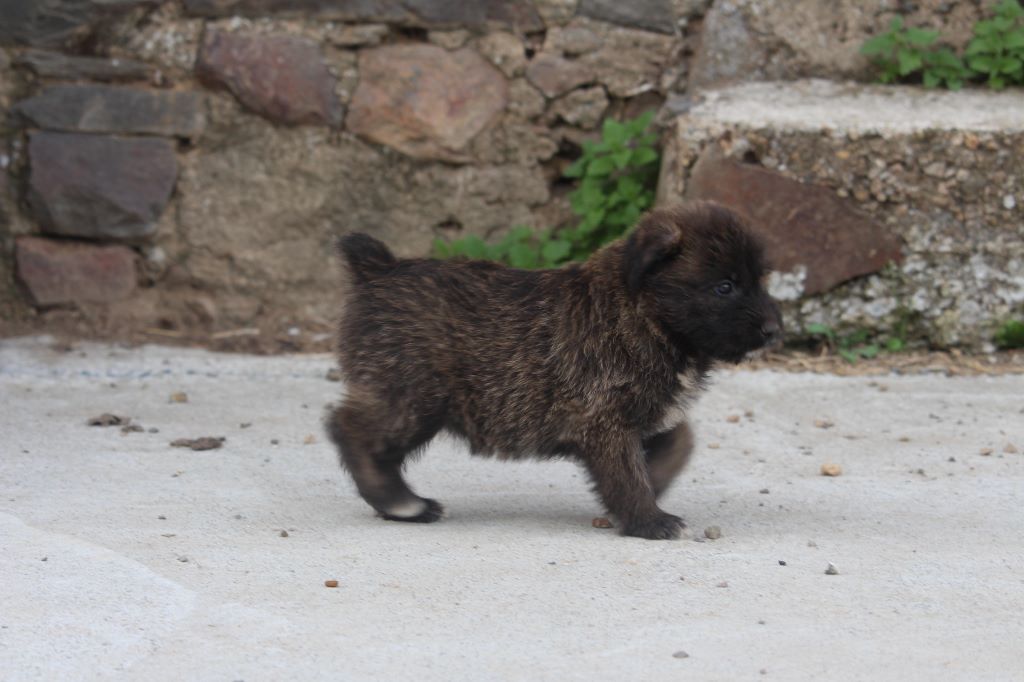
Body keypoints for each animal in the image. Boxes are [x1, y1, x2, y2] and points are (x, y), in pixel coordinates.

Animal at [323, 199, 778, 540]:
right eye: (724, 286)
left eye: (761, 280)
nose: (775, 330)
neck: (643, 312)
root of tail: (378, 269)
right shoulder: (605, 421)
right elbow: (628, 472)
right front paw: (648, 519)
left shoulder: (649, 413)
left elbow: (679, 442)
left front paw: (651, 487)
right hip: (412, 397)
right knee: (351, 429)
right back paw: (402, 503)